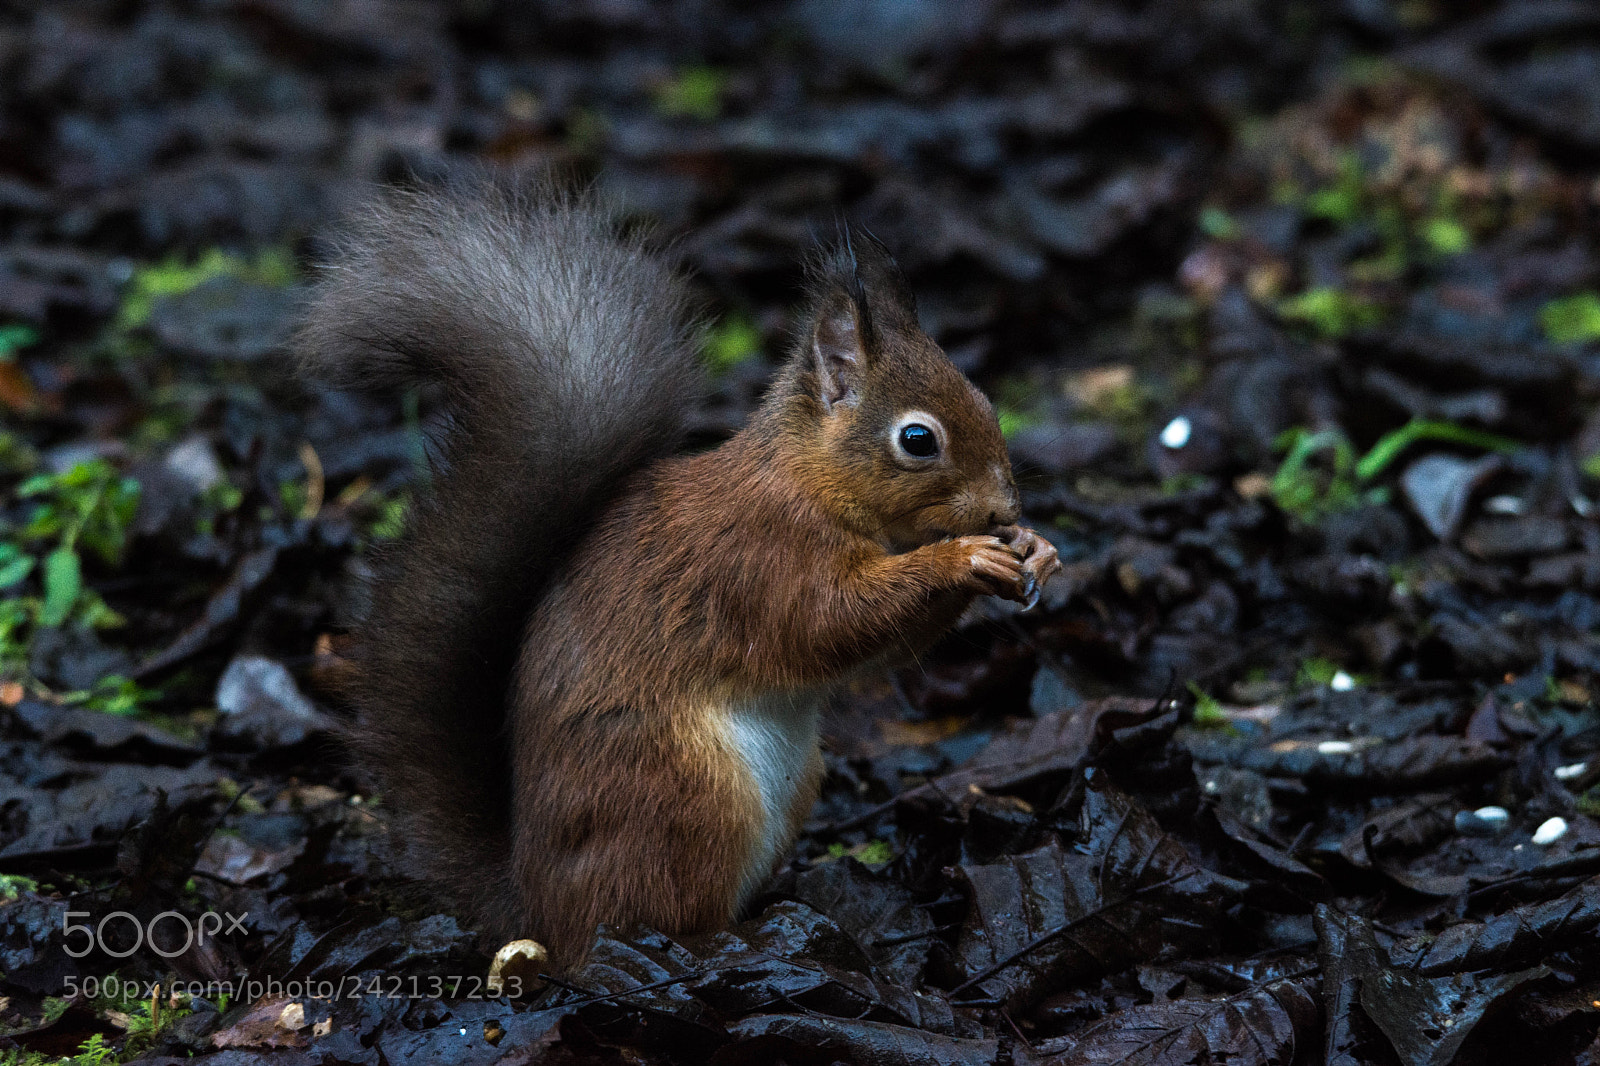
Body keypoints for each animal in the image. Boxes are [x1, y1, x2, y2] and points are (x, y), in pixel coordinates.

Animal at [298, 172, 1061, 971]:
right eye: (918, 439)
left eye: (985, 399)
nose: (1005, 506)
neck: (811, 480)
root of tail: (532, 908)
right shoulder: (762, 557)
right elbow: (832, 622)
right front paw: (963, 556)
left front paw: (1034, 548)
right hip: (685, 797)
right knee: (657, 910)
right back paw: (736, 945)